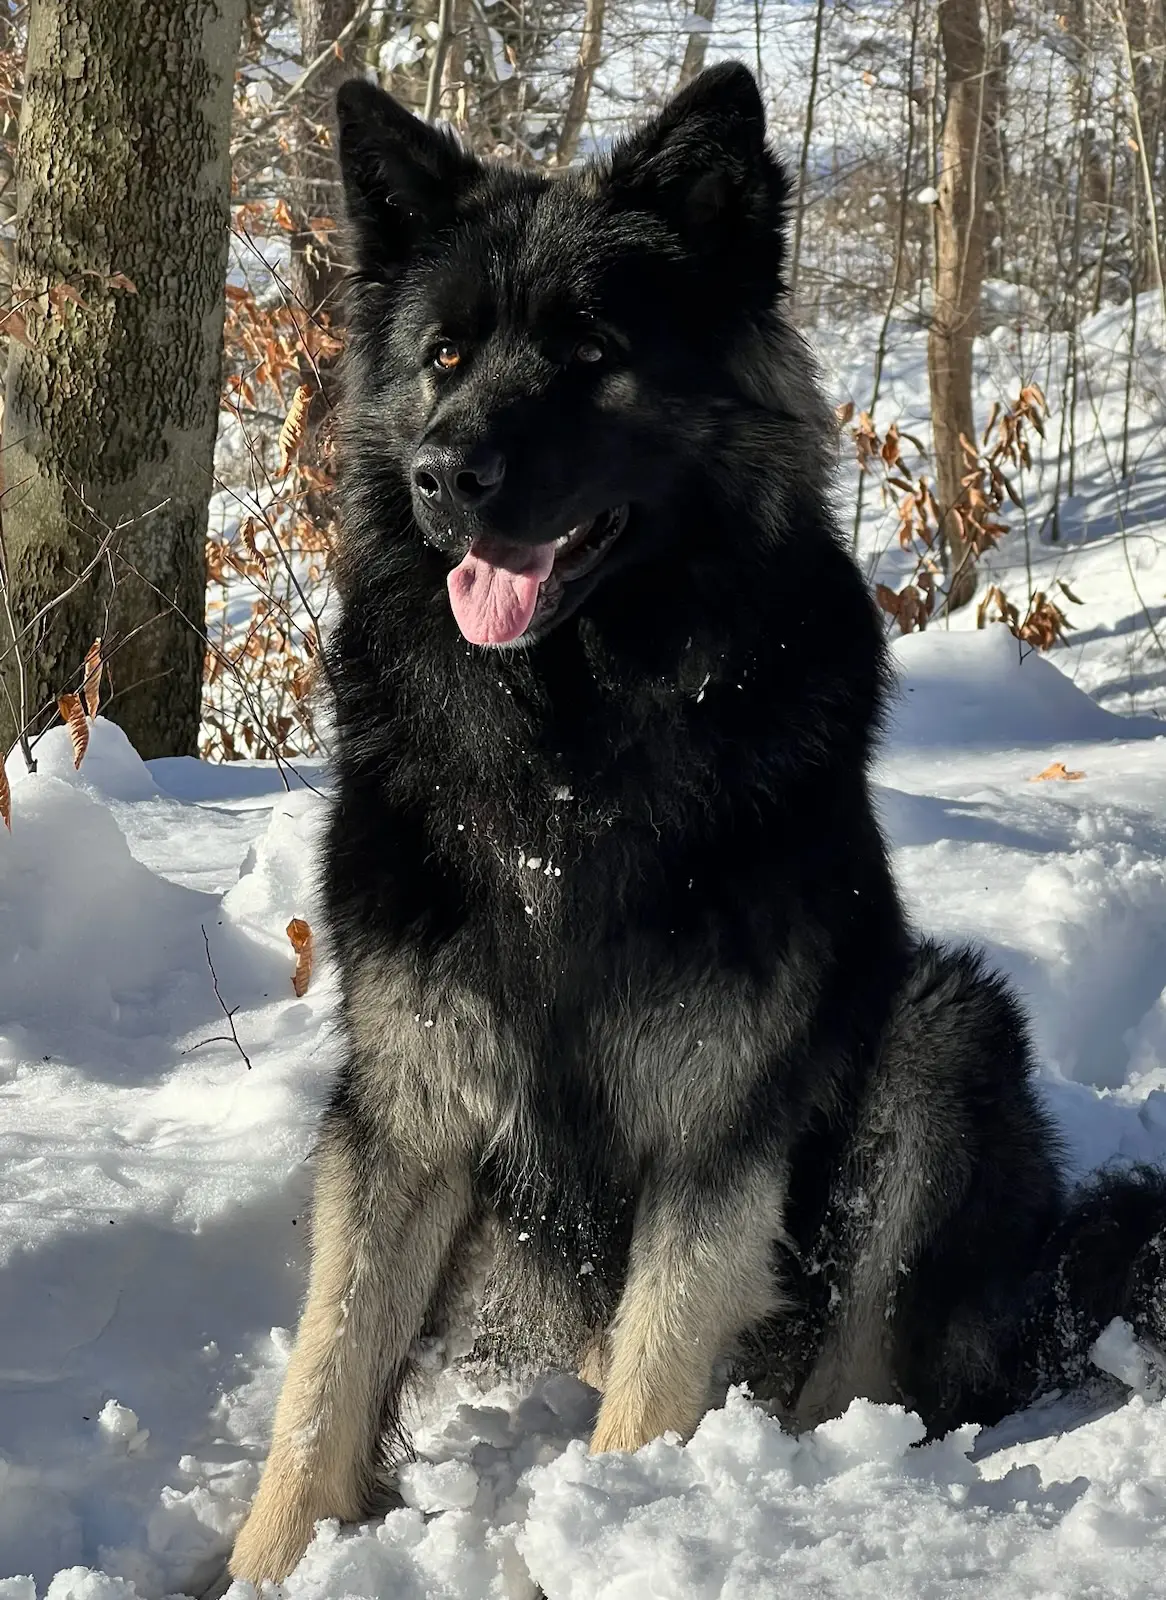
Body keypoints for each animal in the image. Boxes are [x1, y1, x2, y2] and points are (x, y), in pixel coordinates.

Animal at [227, 62, 1164, 1587]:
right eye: (441, 356)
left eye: (590, 352)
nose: (441, 474)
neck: (565, 758)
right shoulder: (404, 1111)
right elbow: (324, 1378)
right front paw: (267, 1560)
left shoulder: (720, 1126)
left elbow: (653, 1374)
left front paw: (611, 1530)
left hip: (937, 1033)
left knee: (856, 1377)